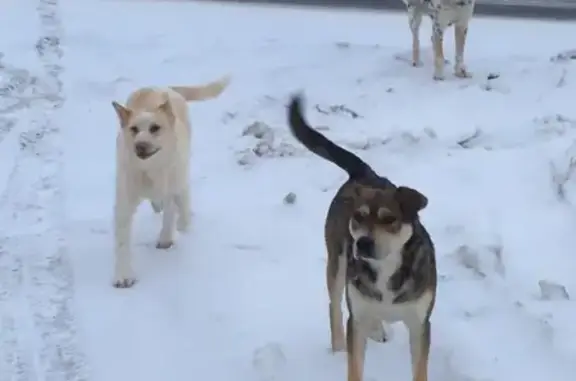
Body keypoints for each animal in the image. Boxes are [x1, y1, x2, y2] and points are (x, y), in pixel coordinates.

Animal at [110, 75, 230, 286]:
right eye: (134, 129)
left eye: (155, 128)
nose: (140, 145)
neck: (151, 170)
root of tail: (164, 87)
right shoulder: (124, 201)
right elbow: (122, 241)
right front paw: (123, 276)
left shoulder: (174, 182)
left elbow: (174, 212)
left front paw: (172, 232)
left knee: (176, 202)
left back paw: (175, 227)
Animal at [286, 93, 438, 380]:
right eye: (358, 217)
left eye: (389, 219)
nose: (364, 243)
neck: (386, 271)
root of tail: (365, 174)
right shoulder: (355, 320)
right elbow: (354, 363)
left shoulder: (420, 323)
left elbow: (420, 368)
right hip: (337, 263)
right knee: (335, 305)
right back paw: (338, 347)